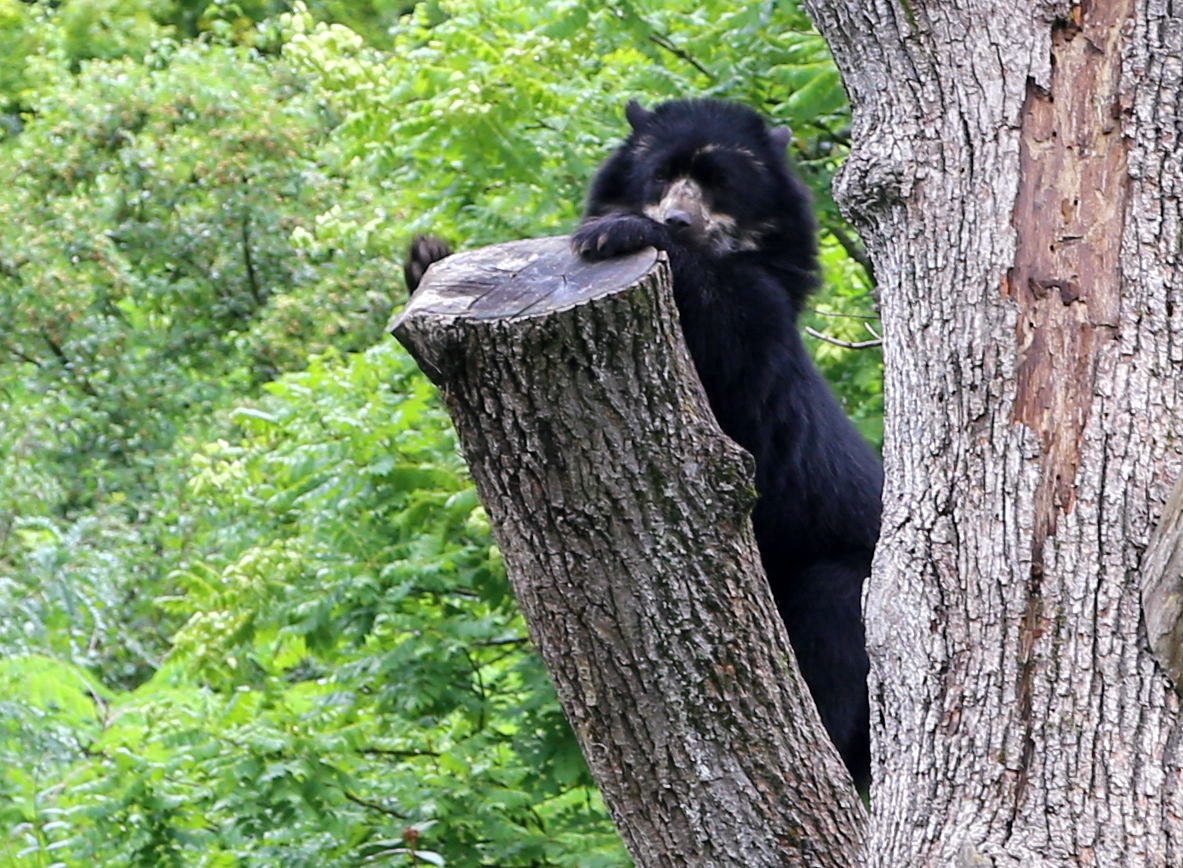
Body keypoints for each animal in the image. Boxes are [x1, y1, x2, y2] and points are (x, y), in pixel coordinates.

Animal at [567, 98, 884, 789]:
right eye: (661, 175)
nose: (677, 219)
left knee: (831, 629)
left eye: (720, 184)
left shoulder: (761, 325)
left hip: (842, 570)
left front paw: (618, 233)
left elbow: (731, 323)